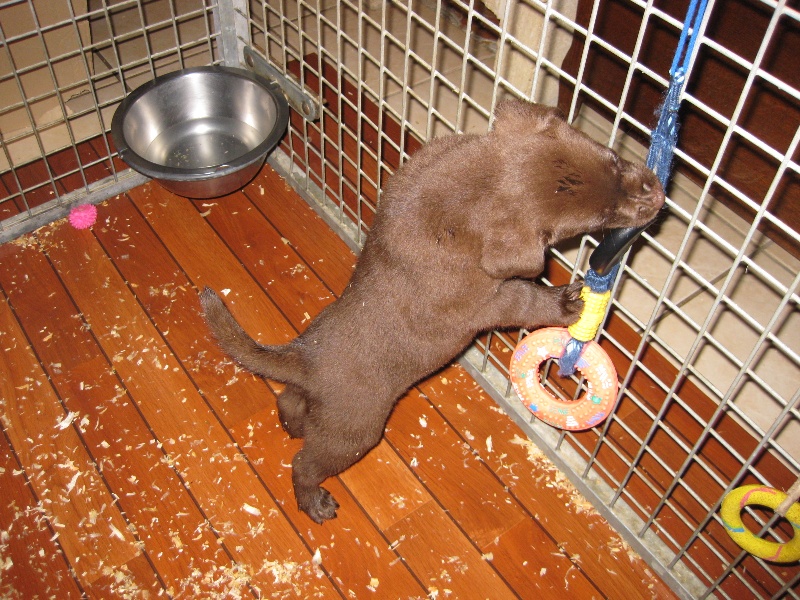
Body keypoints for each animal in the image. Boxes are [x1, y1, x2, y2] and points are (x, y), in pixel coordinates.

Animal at [200, 100, 664, 523]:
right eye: (600, 217)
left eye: (615, 160)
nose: (658, 193)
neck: (472, 194)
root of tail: (305, 357)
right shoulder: (491, 300)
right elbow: (528, 300)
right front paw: (571, 302)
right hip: (354, 430)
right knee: (303, 463)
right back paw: (313, 502)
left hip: (316, 399)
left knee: (289, 400)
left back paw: (292, 425)